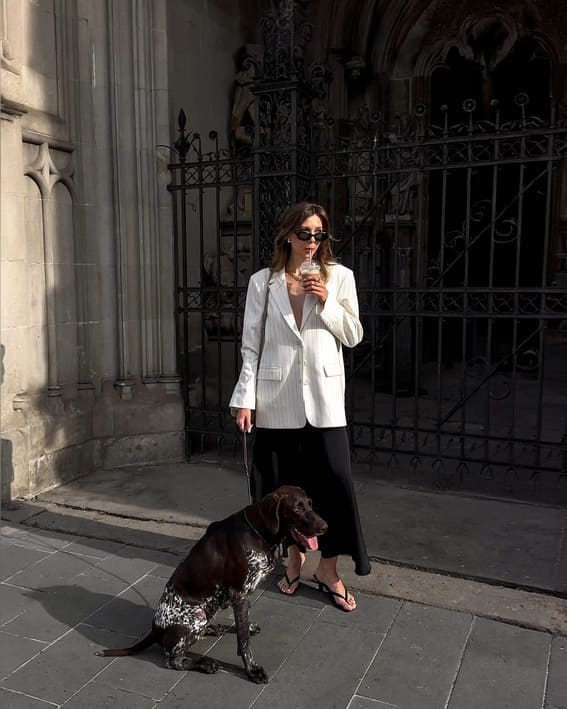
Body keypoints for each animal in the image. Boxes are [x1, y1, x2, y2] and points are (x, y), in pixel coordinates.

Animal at [96, 484, 328, 684]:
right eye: (297, 507)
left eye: (310, 504)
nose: (325, 527)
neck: (258, 531)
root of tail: (155, 630)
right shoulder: (239, 594)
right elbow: (244, 640)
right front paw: (252, 670)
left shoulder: (242, 597)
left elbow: (243, 625)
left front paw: (246, 628)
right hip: (196, 615)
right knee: (173, 660)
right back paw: (205, 664)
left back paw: (214, 628)